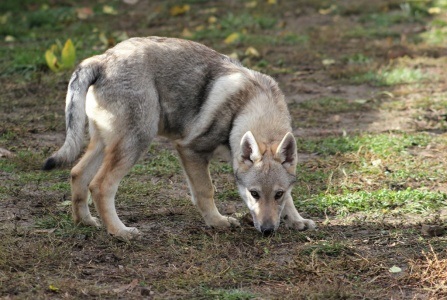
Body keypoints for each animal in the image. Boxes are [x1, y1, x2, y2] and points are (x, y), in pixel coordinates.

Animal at [43, 36, 316, 238]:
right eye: (254, 194)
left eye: (278, 194)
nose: (268, 231)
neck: (249, 104)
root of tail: (102, 59)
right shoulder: (190, 150)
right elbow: (206, 191)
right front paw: (217, 222)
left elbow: (291, 199)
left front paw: (296, 220)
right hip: (136, 142)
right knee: (99, 186)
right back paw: (120, 232)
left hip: (105, 144)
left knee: (77, 173)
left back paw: (85, 222)